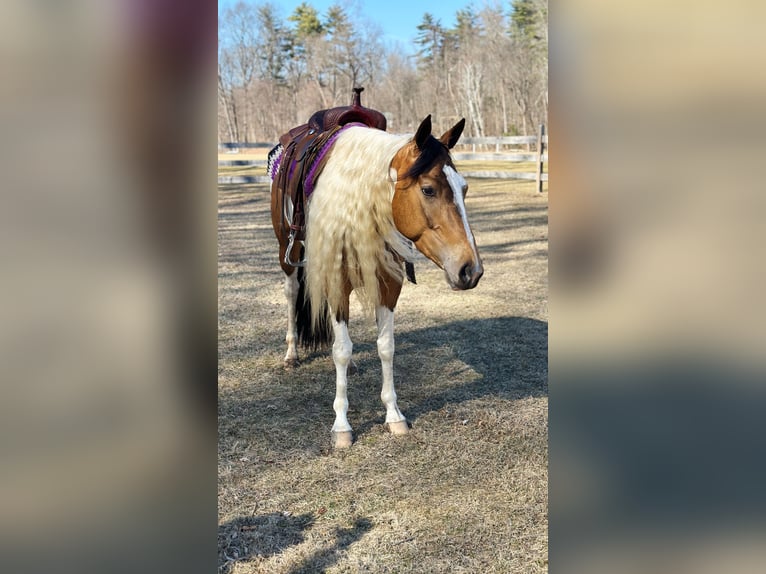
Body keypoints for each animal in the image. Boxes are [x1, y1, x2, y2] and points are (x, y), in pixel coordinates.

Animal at [270, 107, 486, 450]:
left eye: (464, 188)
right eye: (428, 189)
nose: (471, 269)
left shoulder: (388, 283)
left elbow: (385, 346)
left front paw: (394, 415)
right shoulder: (337, 282)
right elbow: (341, 350)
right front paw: (341, 425)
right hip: (287, 254)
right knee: (291, 294)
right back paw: (291, 354)